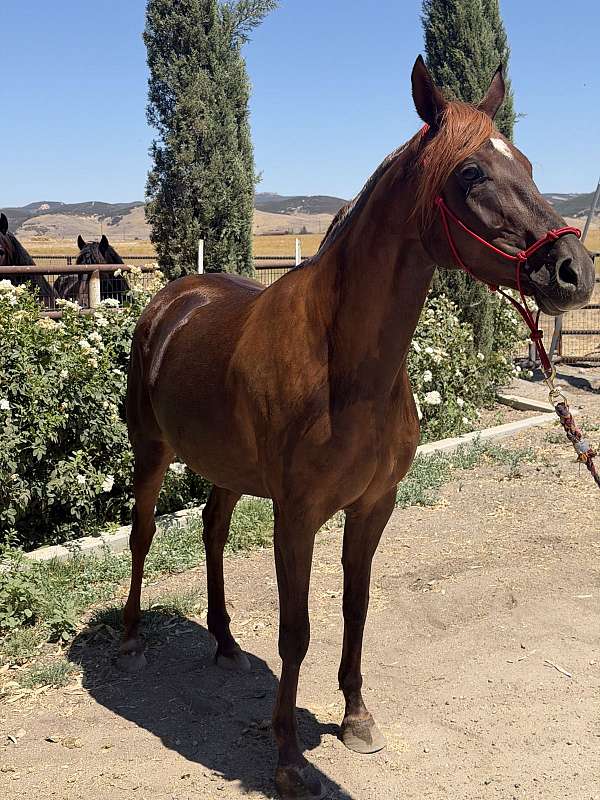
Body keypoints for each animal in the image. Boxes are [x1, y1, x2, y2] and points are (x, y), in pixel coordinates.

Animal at [121, 58, 595, 799]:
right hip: (152, 452)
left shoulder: (373, 505)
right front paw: (289, 760)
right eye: (471, 173)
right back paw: (131, 642)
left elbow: (356, 606)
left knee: (213, 531)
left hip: (226, 469)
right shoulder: (296, 516)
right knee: (142, 535)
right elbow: (295, 631)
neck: (344, 364)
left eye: (527, 164)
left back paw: (225, 643)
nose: (575, 271)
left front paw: (356, 716)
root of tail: (172, 299)